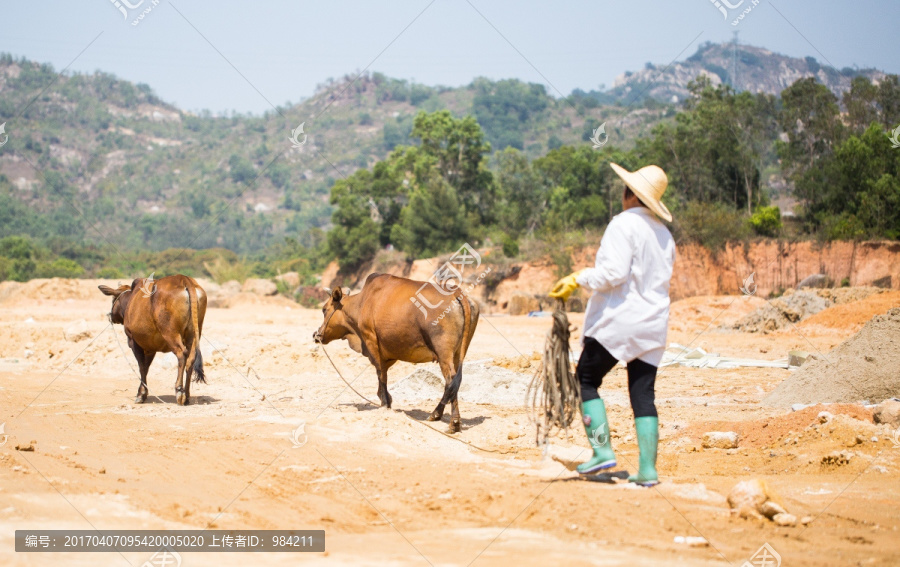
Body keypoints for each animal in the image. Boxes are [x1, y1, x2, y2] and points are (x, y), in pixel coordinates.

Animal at [100, 274, 207, 404]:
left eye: (113, 300)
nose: (111, 315)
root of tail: (184, 279)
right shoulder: (151, 347)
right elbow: (146, 367)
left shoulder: (134, 341)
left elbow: (141, 367)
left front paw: (141, 394)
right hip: (194, 333)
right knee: (190, 358)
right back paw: (186, 395)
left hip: (170, 333)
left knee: (182, 354)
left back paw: (179, 391)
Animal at [312, 272, 478, 432]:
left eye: (324, 309)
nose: (316, 334)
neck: (361, 302)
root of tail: (456, 292)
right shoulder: (388, 352)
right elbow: (383, 373)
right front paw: (386, 400)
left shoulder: (371, 340)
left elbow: (381, 374)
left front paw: (385, 403)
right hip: (458, 353)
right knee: (453, 383)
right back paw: (439, 415)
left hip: (444, 353)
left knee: (451, 380)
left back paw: (452, 422)